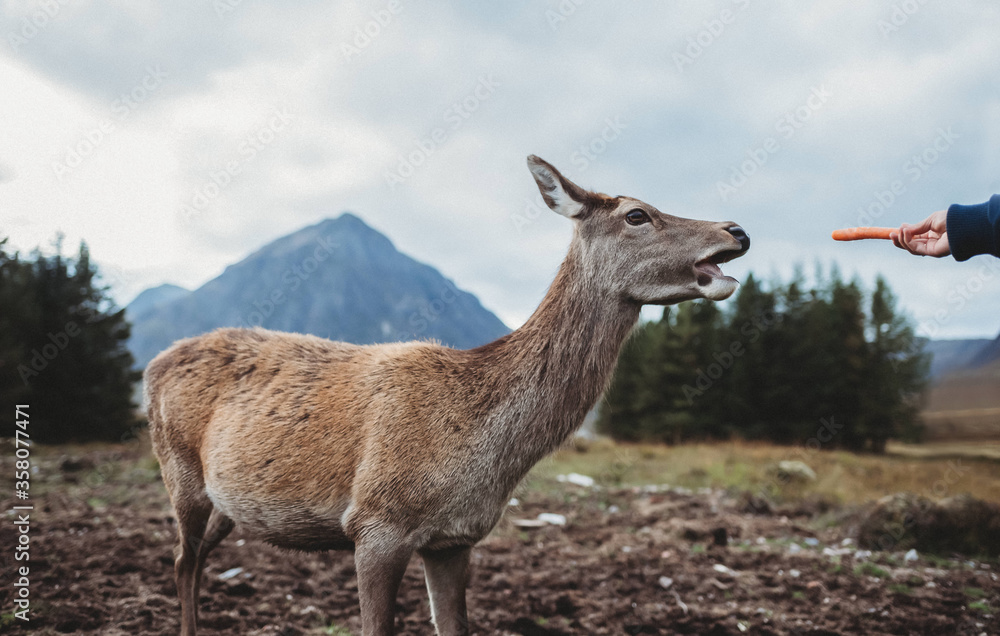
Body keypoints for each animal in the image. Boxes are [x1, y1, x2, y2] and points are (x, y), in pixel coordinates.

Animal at [144, 155, 750, 636]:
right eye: (636, 214)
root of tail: (153, 364)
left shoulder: (456, 539)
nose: (738, 230)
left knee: (195, 557)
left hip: (228, 501)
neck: (484, 451)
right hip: (179, 473)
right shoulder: (375, 524)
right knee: (180, 560)